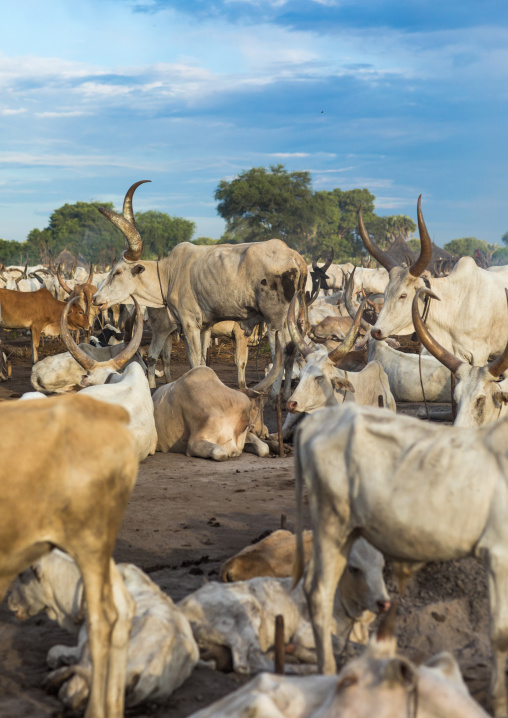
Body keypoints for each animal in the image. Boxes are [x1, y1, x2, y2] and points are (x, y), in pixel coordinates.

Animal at [0, 393, 139, 718]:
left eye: (24, 576)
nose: (11, 604)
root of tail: (110, 412)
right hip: (98, 549)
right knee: (123, 607)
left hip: (90, 543)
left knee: (103, 619)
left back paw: (96, 711)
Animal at [91, 181, 307, 399]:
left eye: (118, 272)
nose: (95, 298)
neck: (170, 274)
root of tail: (295, 256)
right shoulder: (204, 327)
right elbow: (203, 361)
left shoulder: (190, 324)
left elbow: (194, 360)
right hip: (291, 319)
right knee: (292, 352)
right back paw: (286, 395)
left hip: (275, 321)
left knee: (281, 353)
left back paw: (274, 395)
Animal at [179, 537, 389, 674]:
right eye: (354, 568)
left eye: (382, 567)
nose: (384, 602)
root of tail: (182, 607)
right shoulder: (306, 631)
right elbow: (350, 647)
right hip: (245, 613)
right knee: (250, 662)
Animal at [293, 402, 508, 717]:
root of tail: (314, 421)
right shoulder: (498, 553)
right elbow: (501, 634)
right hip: (330, 521)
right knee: (319, 592)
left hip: (346, 532)